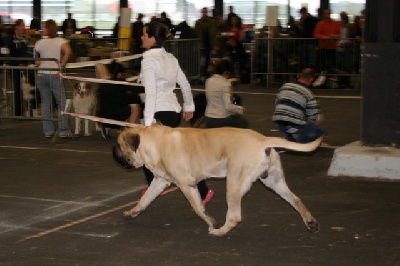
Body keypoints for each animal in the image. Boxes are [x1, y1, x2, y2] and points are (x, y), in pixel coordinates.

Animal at [112, 125, 322, 237]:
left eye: (119, 145)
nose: (113, 152)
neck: (152, 143)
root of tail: (264, 141)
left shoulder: (186, 184)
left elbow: (198, 208)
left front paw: (210, 221)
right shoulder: (160, 181)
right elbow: (145, 199)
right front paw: (133, 212)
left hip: (234, 182)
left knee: (235, 215)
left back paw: (220, 231)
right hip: (274, 181)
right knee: (296, 200)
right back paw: (310, 222)